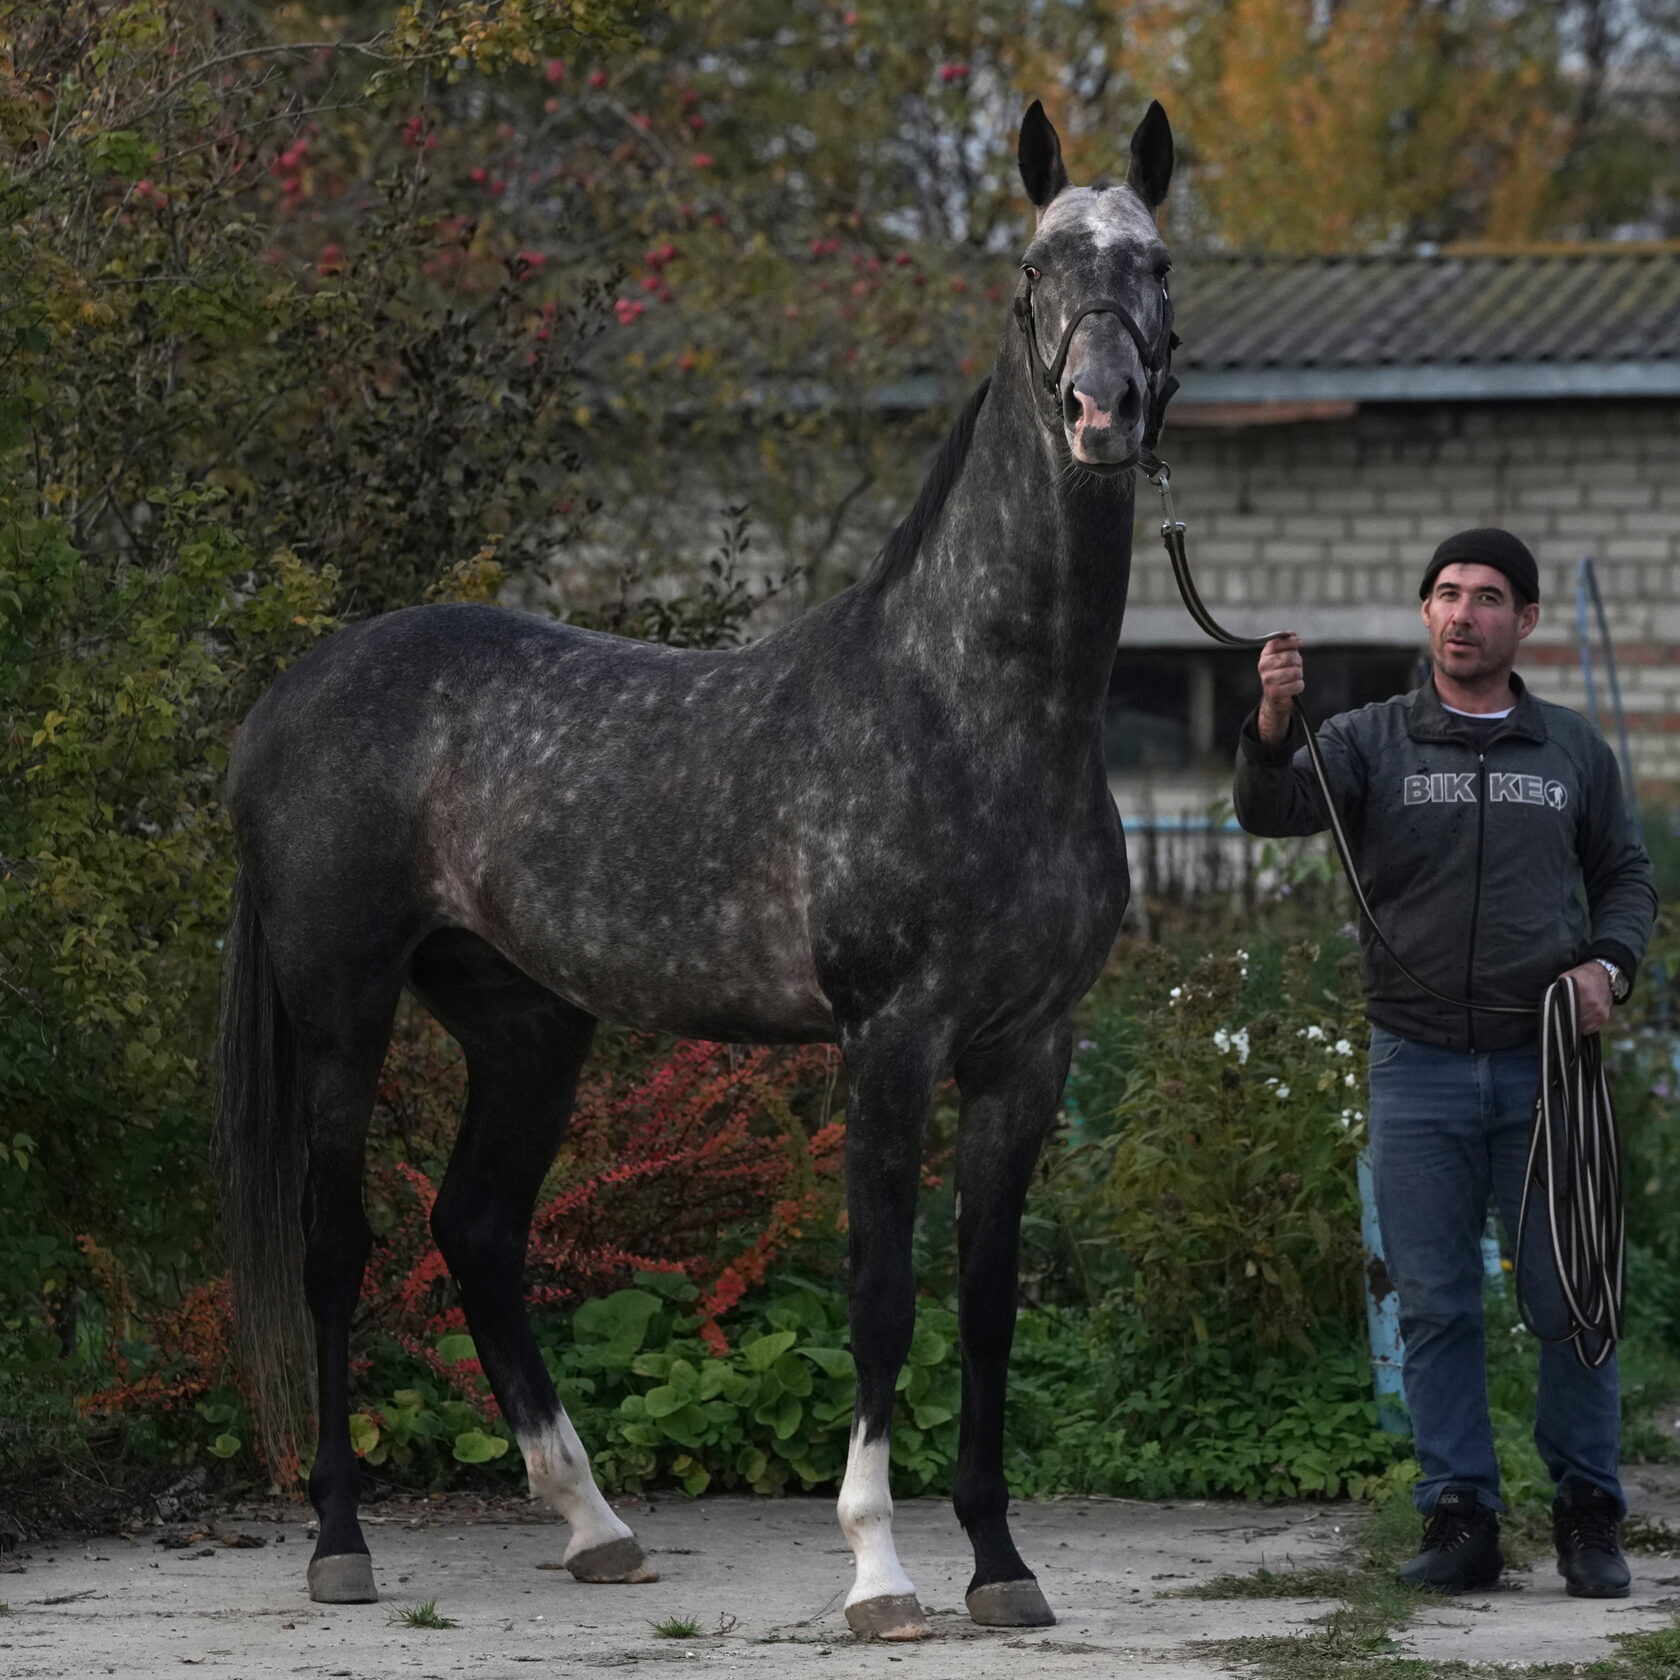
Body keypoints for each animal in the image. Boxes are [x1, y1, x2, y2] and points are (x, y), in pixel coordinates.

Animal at [216, 101, 1176, 1639]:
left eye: (1156, 266)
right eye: (1033, 275)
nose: (1101, 412)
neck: (972, 706)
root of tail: (285, 699)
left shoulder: (1032, 1051)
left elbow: (987, 1303)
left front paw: (1001, 1565)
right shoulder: (890, 1042)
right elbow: (882, 1295)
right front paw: (879, 1573)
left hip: (529, 1025)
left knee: (475, 1228)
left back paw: (595, 1526)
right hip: (343, 1009)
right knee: (335, 1246)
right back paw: (341, 1544)